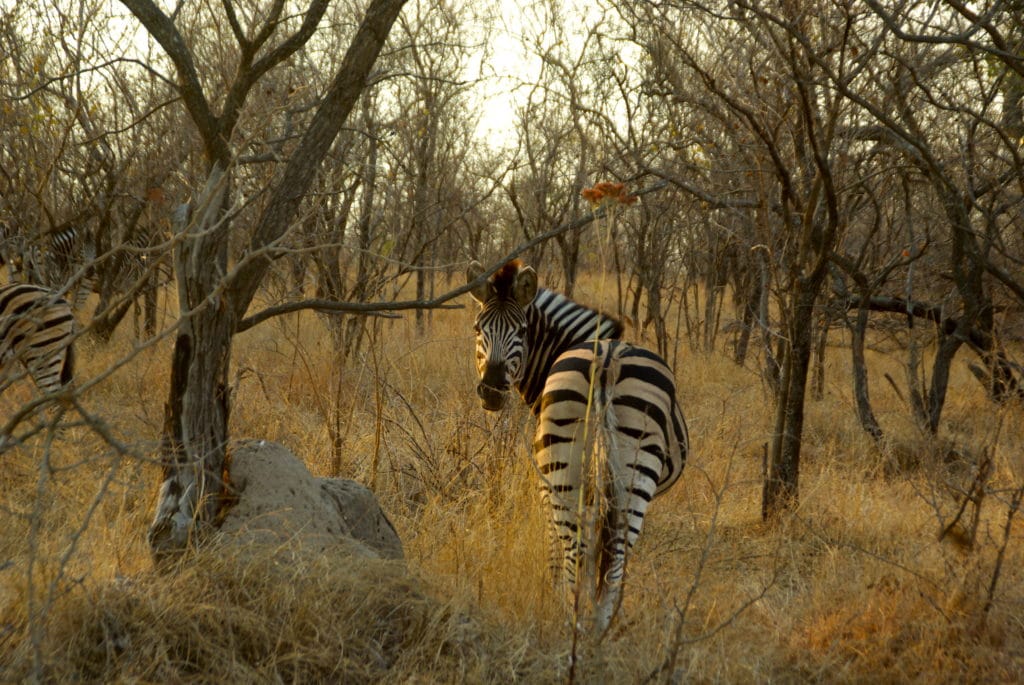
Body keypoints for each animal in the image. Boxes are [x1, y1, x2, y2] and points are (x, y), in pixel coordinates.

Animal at [468, 259, 692, 634]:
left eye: (523, 331)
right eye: (477, 328)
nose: (492, 391)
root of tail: (607, 359)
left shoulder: (544, 485)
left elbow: (557, 549)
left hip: (570, 469)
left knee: (580, 548)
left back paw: (578, 623)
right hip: (626, 470)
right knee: (611, 553)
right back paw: (596, 626)